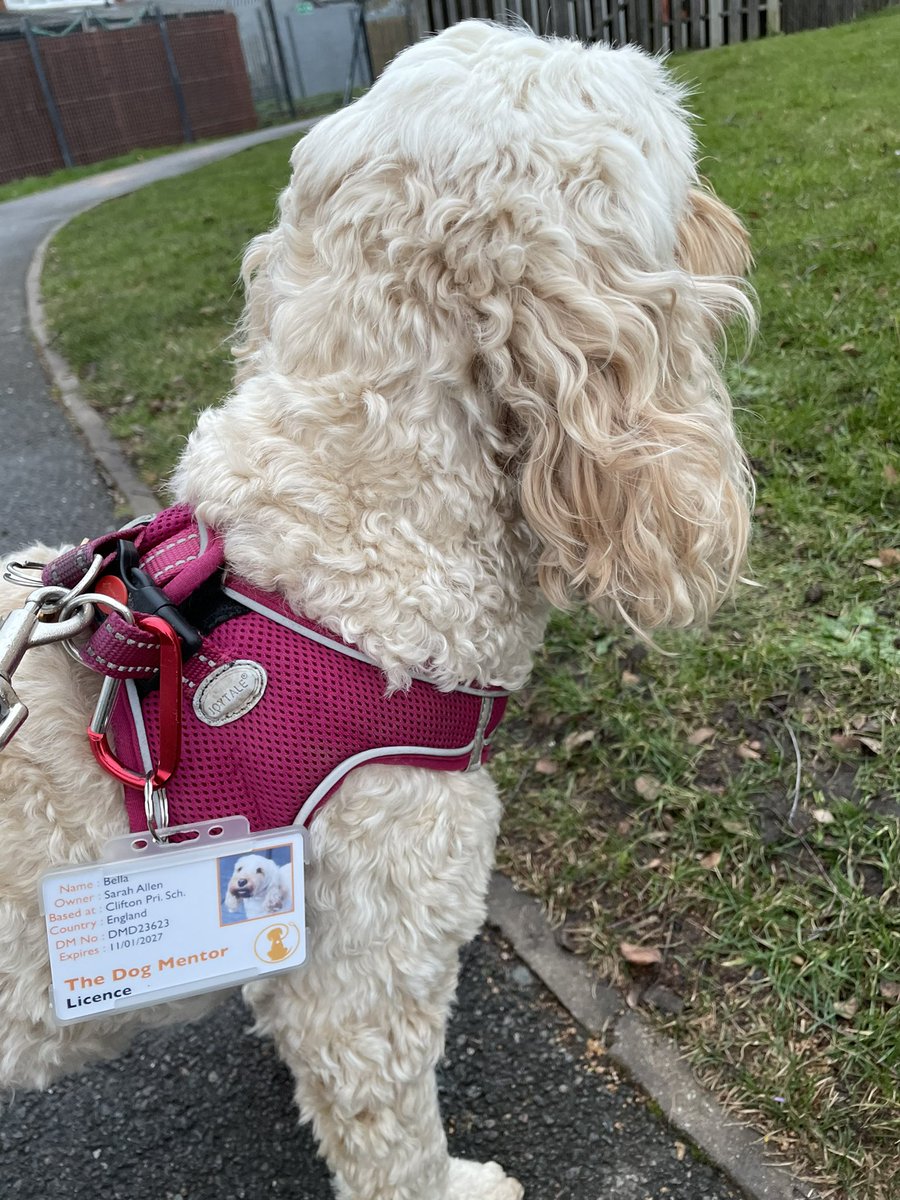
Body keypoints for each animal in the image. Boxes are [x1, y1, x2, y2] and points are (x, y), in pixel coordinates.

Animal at [0, 18, 753, 1200]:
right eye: (679, 166)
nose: (737, 235)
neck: (345, 534)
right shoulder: (369, 977)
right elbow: (396, 1144)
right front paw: (463, 1184)